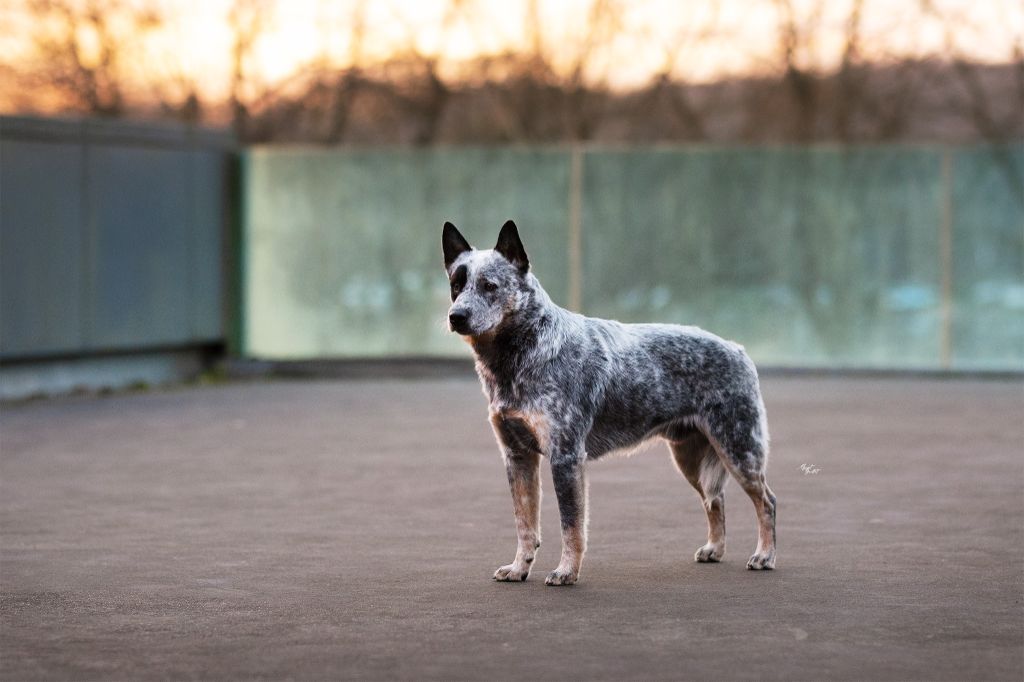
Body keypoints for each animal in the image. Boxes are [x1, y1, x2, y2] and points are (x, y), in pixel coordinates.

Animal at [442, 220, 774, 581]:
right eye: (456, 285)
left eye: (490, 285)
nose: (456, 316)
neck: (522, 358)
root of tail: (738, 349)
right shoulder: (517, 457)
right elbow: (525, 524)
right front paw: (519, 568)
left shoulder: (566, 457)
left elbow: (571, 525)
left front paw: (566, 572)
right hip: (689, 458)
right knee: (716, 500)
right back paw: (714, 549)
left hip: (738, 450)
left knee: (766, 502)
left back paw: (764, 556)